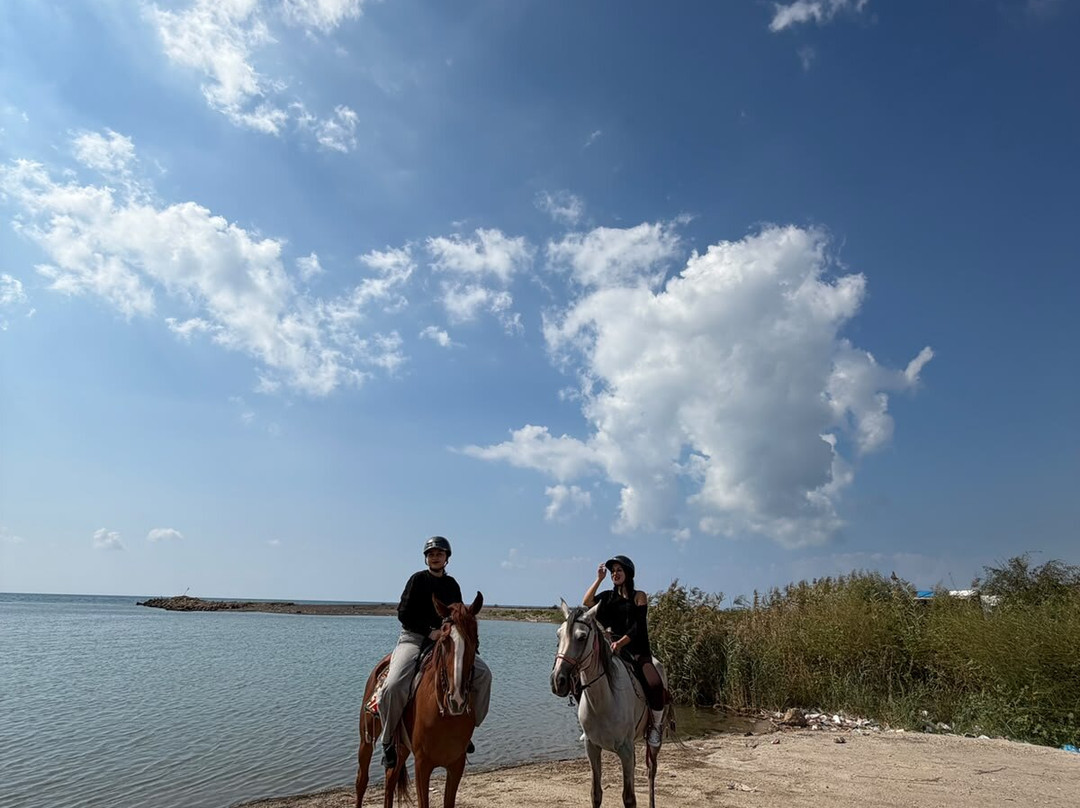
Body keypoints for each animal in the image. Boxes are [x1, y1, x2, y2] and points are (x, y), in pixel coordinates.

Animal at [355, 592, 484, 808]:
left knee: (390, 779)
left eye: (475, 640)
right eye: (444, 640)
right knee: (361, 781)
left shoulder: (456, 765)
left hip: (402, 747)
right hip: (367, 738)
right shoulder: (422, 765)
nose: (456, 699)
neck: (445, 713)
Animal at [550, 599, 671, 808]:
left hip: (654, 738)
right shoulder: (592, 748)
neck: (603, 702)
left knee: (651, 770)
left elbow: (629, 798)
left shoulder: (625, 751)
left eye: (582, 637)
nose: (558, 681)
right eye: (559, 634)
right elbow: (596, 794)